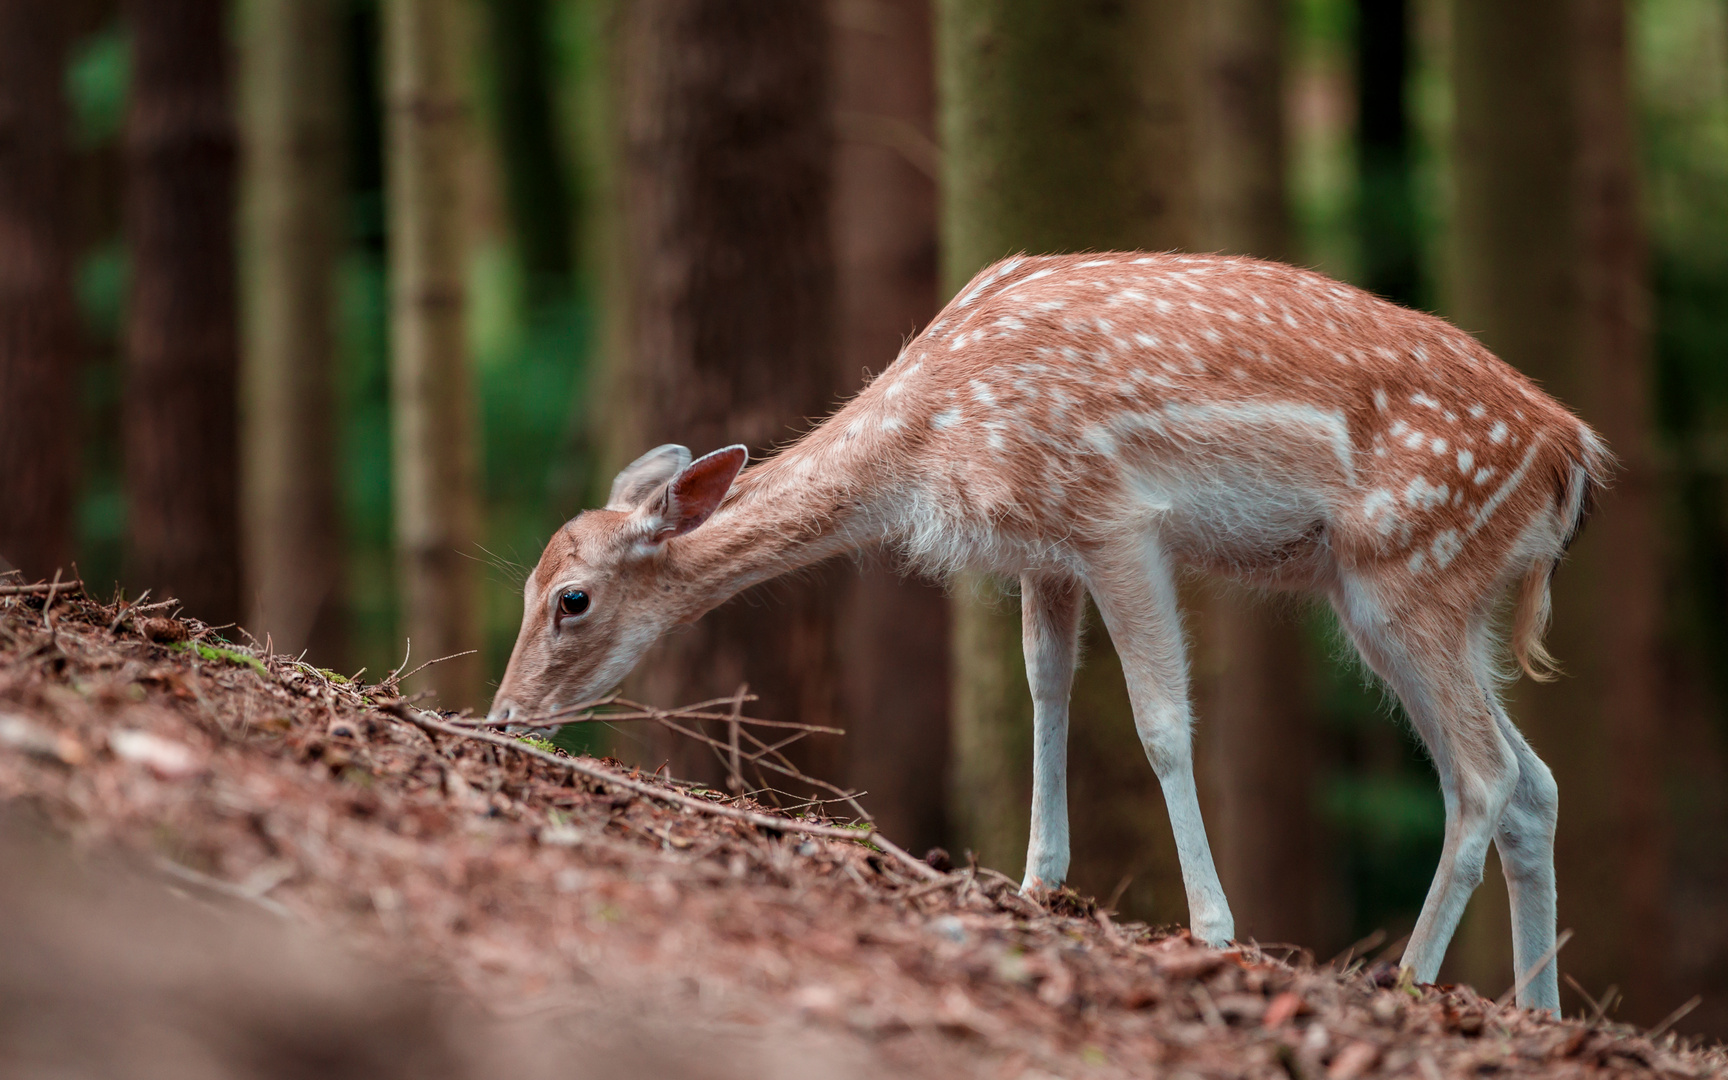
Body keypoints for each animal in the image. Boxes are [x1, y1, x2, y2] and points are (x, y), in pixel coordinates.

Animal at [487, 252, 1603, 1009]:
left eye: (570, 599)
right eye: (531, 582)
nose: (499, 720)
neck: (928, 437)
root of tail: (1573, 457)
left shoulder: (1114, 518)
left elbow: (1160, 722)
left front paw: (1212, 931)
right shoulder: (1044, 546)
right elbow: (1042, 683)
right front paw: (1036, 881)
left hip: (1405, 573)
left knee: (1485, 775)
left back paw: (1408, 980)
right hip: (1436, 599)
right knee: (1536, 780)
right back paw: (1537, 1015)